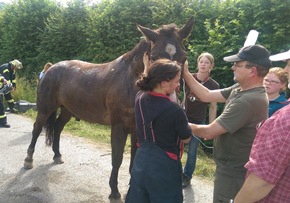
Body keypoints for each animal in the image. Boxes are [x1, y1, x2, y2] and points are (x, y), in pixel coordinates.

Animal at [23, 16, 194, 199]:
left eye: (184, 57)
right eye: (154, 57)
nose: (171, 96)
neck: (131, 81)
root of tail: (50, 68)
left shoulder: (137, 130)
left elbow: (134, 159)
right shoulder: (119, 127)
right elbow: (117, 158)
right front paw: (114, 191)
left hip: (67, 110)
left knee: (57, 127)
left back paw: (57, 155)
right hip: (45, 109)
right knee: (37, 128)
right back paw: (28, 160)